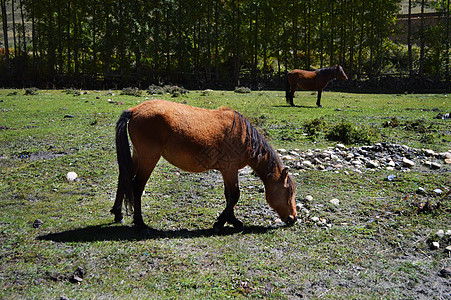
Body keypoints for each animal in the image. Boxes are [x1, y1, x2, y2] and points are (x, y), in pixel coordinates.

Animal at [111, 99, 298, 233]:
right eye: (289, 191)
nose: (293, 218)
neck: (245, 138)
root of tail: (134, 111)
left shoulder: (226, 171)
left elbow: (229, 196)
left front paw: (231, 220)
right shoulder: (230, 169)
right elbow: (235, 195)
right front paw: (221, 222)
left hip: (138, 155)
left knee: (124, 178)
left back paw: (118, 214)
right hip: (149, 158)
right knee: (136, 186)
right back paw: (140, 223)